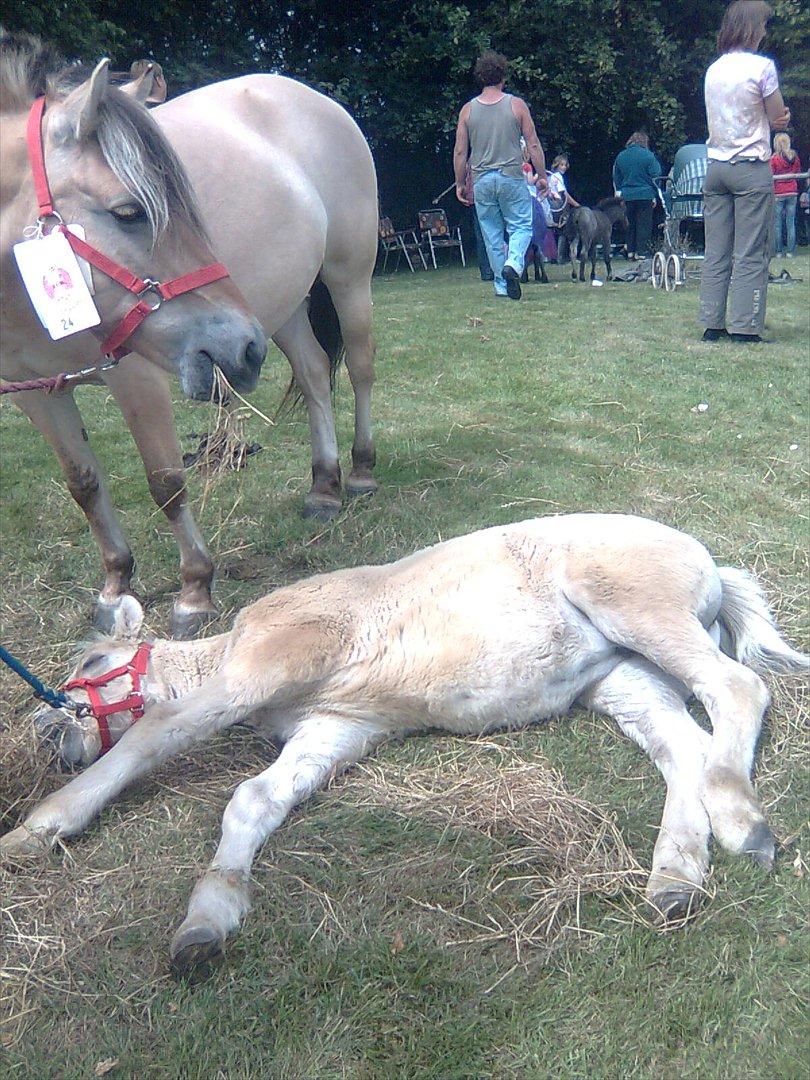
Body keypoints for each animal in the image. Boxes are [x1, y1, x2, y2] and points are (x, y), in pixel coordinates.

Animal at [0, 33, 380, 635]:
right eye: (128, 211)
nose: (241, 347)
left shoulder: (136, 377)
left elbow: (166, 482)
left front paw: (194, 591)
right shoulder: (36, 391)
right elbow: (83, 482)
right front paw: (116, 586)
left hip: (347, 276)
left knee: (360, 368)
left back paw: (361, 471)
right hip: (280, 309)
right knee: (315, 374)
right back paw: (324, 486)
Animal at [3, 509, 807, 976]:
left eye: (91, 664)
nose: (45, 732)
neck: (238, 644)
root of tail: (709, 564)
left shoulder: (264, 668)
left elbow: (153, 734)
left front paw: (37, 829)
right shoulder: (337, 728)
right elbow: (254, 800)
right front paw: (208, 921)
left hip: (633, 607)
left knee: (736, 689)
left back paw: (742, 824)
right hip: (621, 676)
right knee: (686, 749)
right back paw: (674, 881)